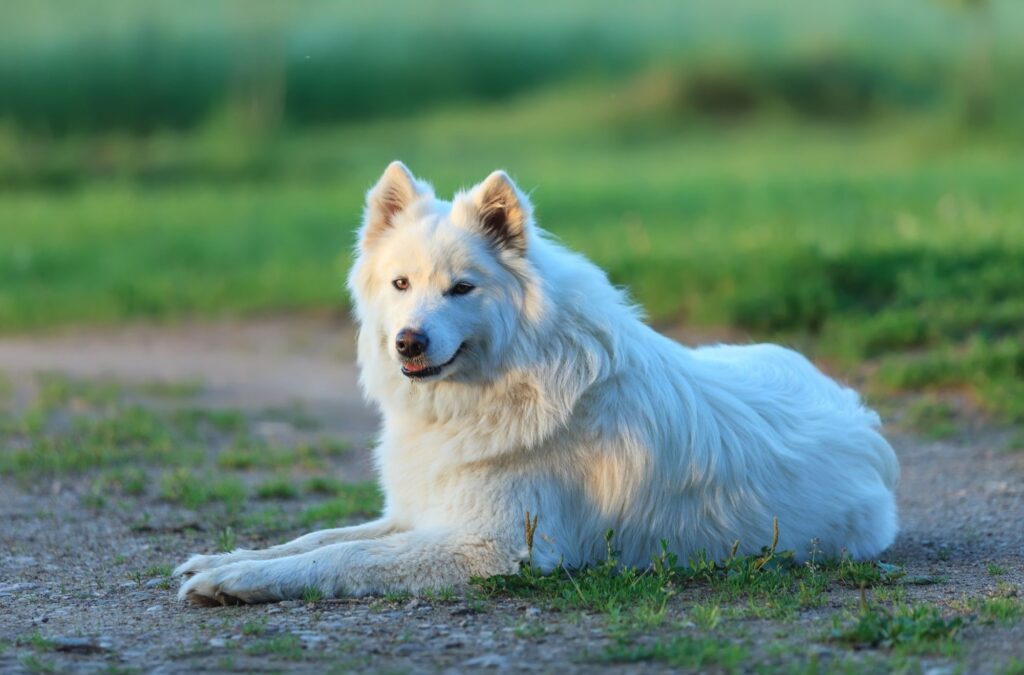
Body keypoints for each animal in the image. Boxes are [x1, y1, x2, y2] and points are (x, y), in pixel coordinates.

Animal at [176, 160, 897, 606]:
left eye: (462, 288)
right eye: (400, 283)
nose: (408, 341)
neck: (497, 386)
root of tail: (861, 416)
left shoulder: (487, 548)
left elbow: (341, 560)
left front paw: (237, 577)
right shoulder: (418, 512)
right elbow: (321, 538)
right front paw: (225, 558)